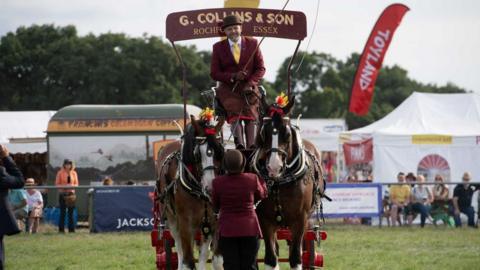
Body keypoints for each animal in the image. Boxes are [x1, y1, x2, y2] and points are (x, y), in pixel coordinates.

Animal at [158, 116, 225, 270]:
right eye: (197, 154)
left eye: (220, 151)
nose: (211, 189)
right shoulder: (185, 224)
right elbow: (188, 261)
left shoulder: (215, 221)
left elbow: (217, 260)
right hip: (172, 219)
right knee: (180, 251)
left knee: (203, 253)